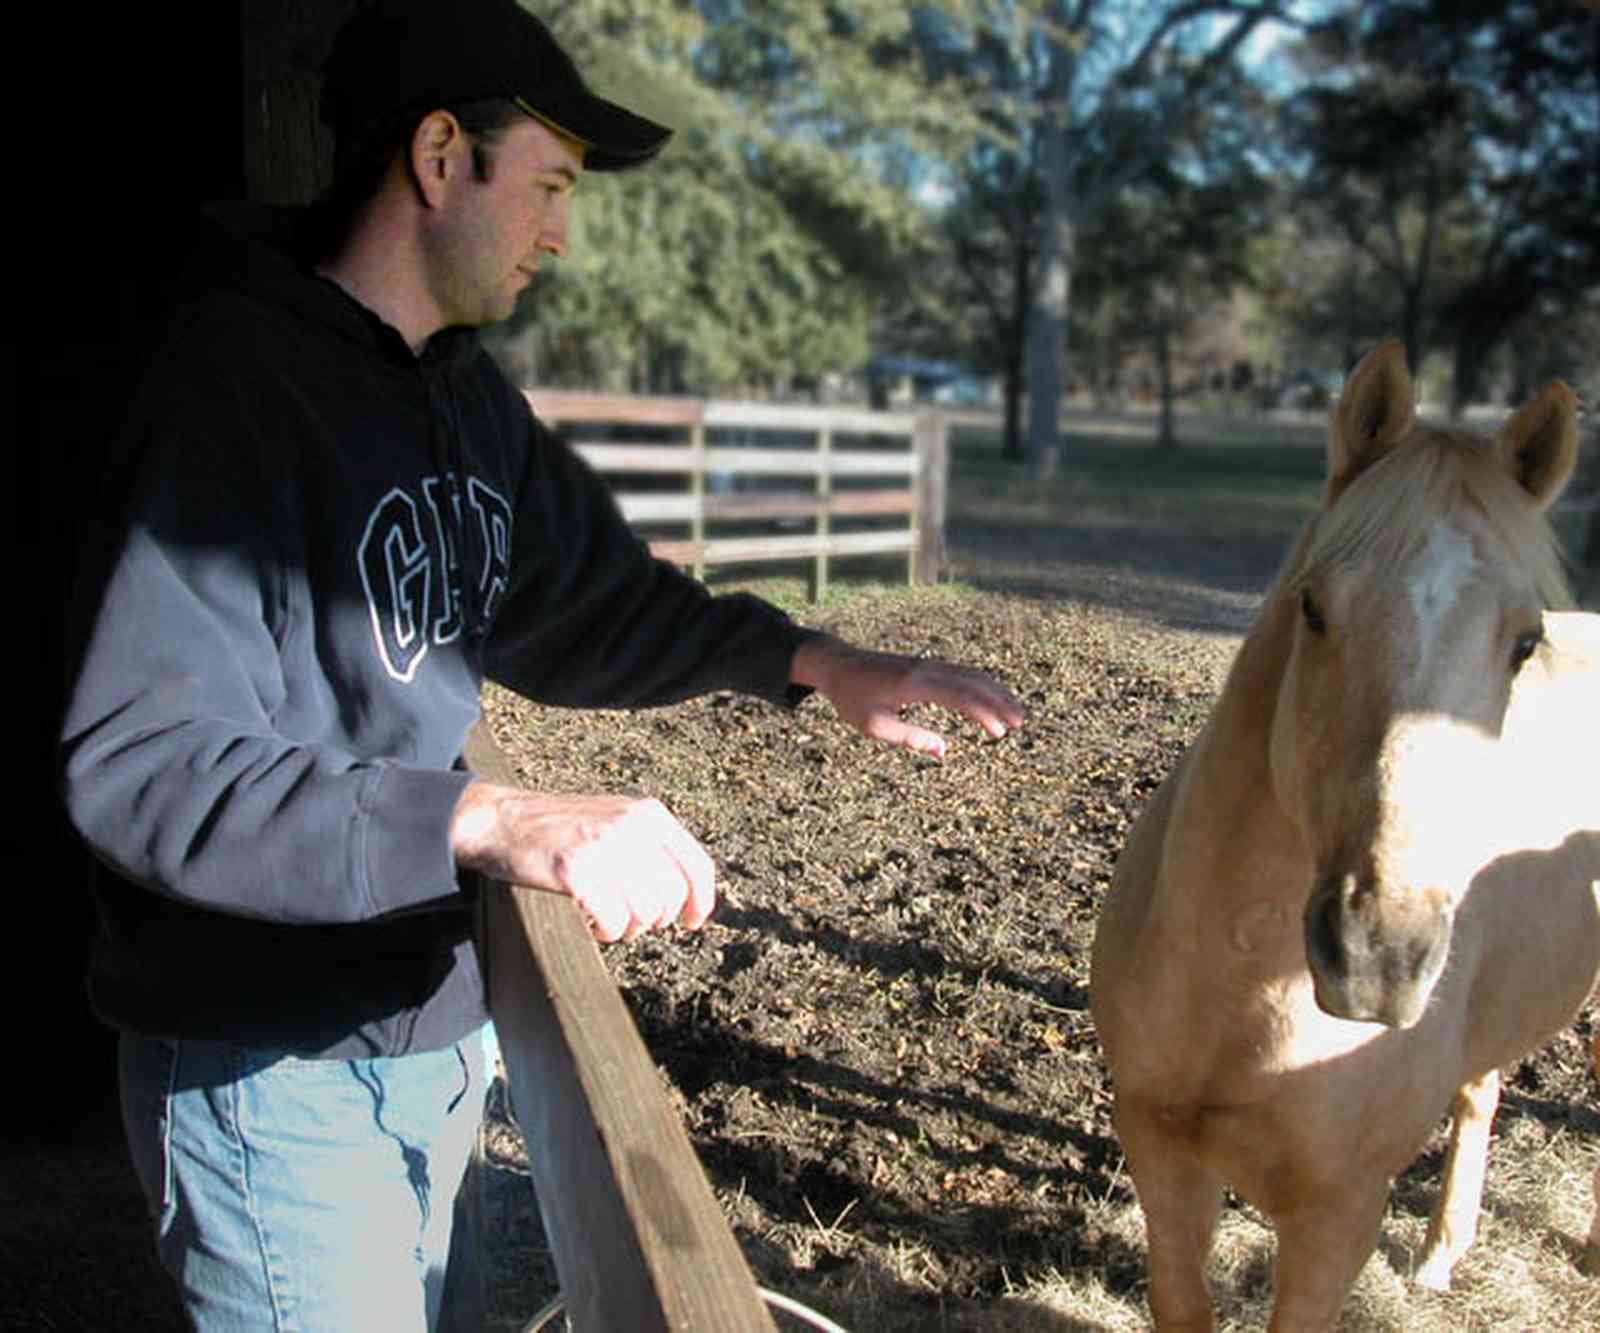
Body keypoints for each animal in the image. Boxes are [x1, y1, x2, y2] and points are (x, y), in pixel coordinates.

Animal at [1089, 340, 1600, 1331]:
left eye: (1524, 643)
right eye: (1315, 606)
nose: (1380, 952)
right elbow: (1180, 1299)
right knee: (1480, 1093)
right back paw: (1439, 1256)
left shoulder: (1339, 1215)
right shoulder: (1160, 1148)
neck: (1254, 999)